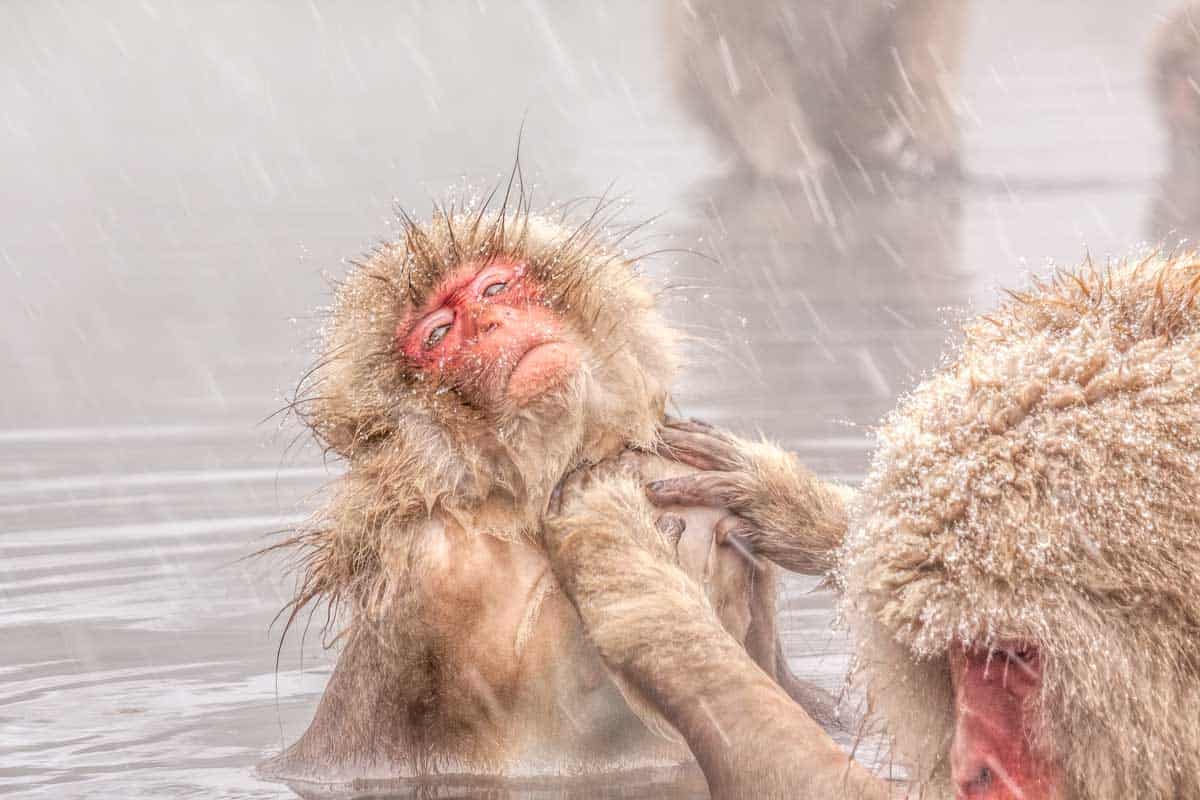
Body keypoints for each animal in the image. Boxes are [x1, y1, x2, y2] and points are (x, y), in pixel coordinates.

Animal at [256, 185, 840, 794]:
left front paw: (770, 496)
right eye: (439, 334)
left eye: (493, 288)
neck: (526, 499)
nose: (491, 322)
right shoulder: (441, 567)